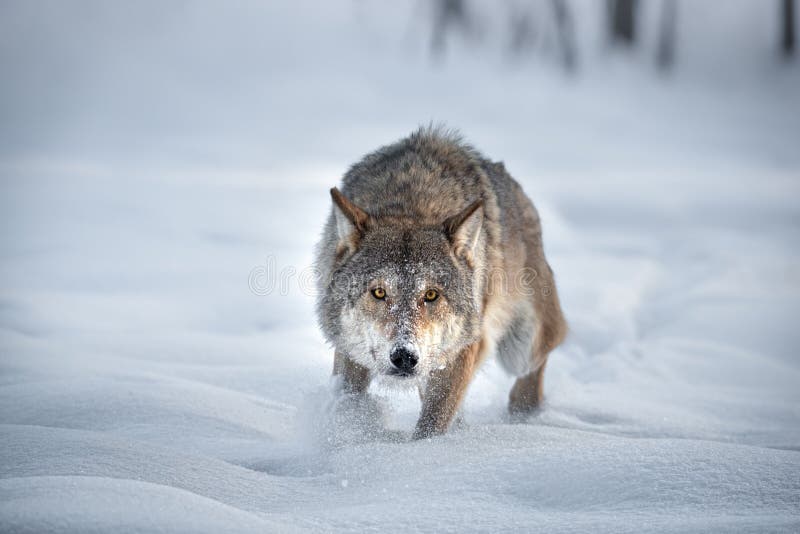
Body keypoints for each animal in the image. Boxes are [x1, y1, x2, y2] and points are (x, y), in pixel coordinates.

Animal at [314, 126, 568, 440]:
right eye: (379, 292)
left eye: (432, 295)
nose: (404, 357)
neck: (412, 204)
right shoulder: (350, 349)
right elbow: (350, 399)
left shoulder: (462, 350)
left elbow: (432, 424)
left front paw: (427, 450)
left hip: (521, 348)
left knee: (540, 359)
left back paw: (523, 416)